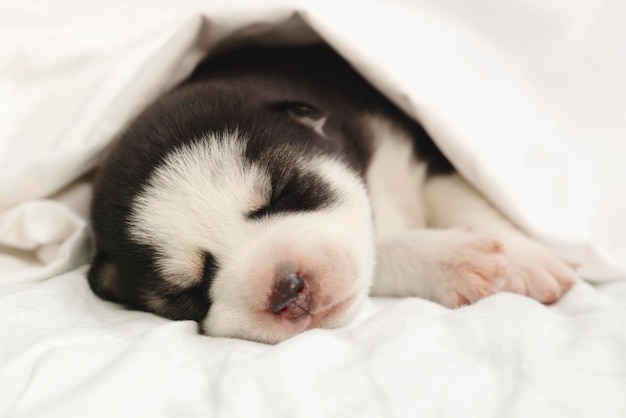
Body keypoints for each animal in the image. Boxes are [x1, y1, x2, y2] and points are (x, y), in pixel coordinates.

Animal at [89, 44, 576, 342]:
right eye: (187, 292)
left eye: (285, 192)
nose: (287, 291)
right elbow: (377, 251)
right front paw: (458, 260)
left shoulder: (415, 146)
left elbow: (457, 193)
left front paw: (528, 259)